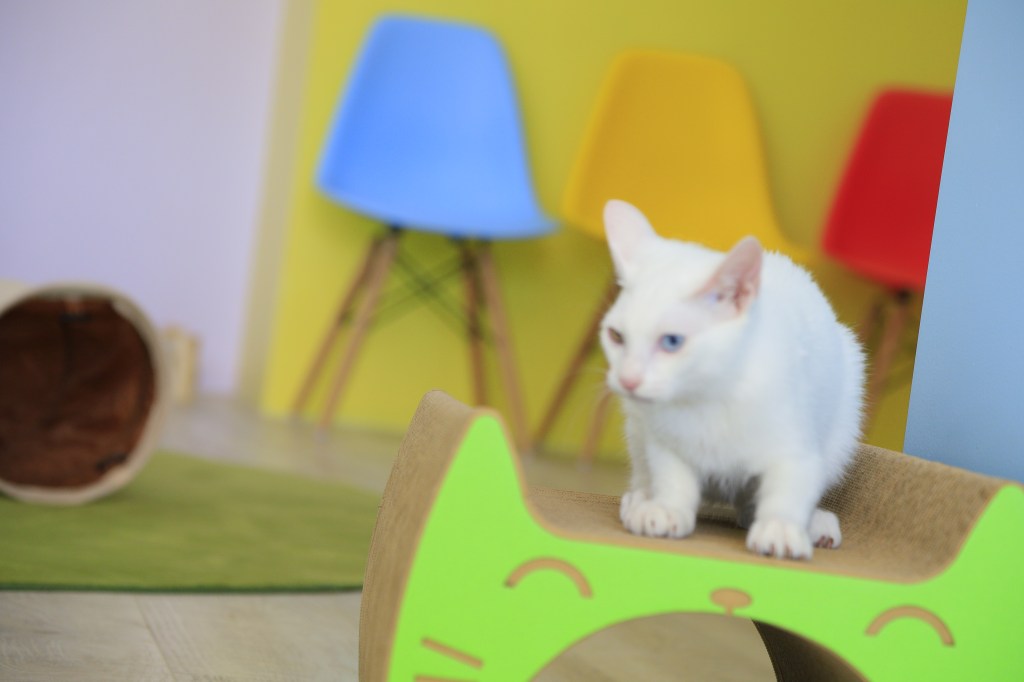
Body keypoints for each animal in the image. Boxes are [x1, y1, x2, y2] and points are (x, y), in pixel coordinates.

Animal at [599, 199, 865, 559]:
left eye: (672, 341)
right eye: (616, 336)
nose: (627, 380)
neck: (707, 394)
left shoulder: (796, 442)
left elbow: (791, 482)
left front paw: (780, 526)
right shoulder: (663, 438)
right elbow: (671, 474)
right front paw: (668, 508)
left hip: (842, 422)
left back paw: (812, 523)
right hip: (636, 426)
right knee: (643, 467)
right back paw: (641, 499)